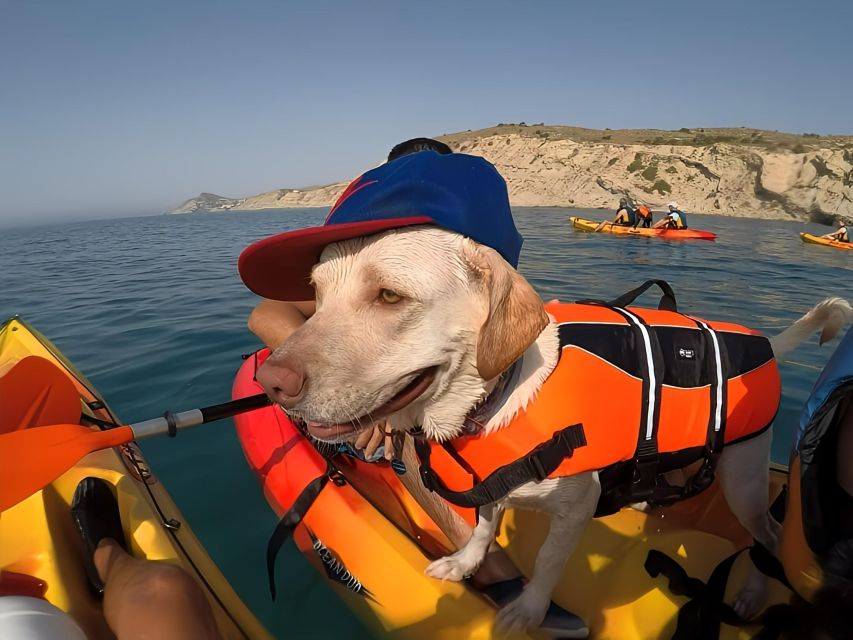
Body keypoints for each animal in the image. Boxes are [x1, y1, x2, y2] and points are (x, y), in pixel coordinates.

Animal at [255, 224, 852, 632]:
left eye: (389, 296)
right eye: (317, 294)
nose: (270, 380)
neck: (489, 403)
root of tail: (766, 342)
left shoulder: (575, 507)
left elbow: (546, 563)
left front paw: (529, 610)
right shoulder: (489, 486)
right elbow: (481, 530)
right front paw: (463, 565)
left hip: (742, 478)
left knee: (769, 533)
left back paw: (751, 591)